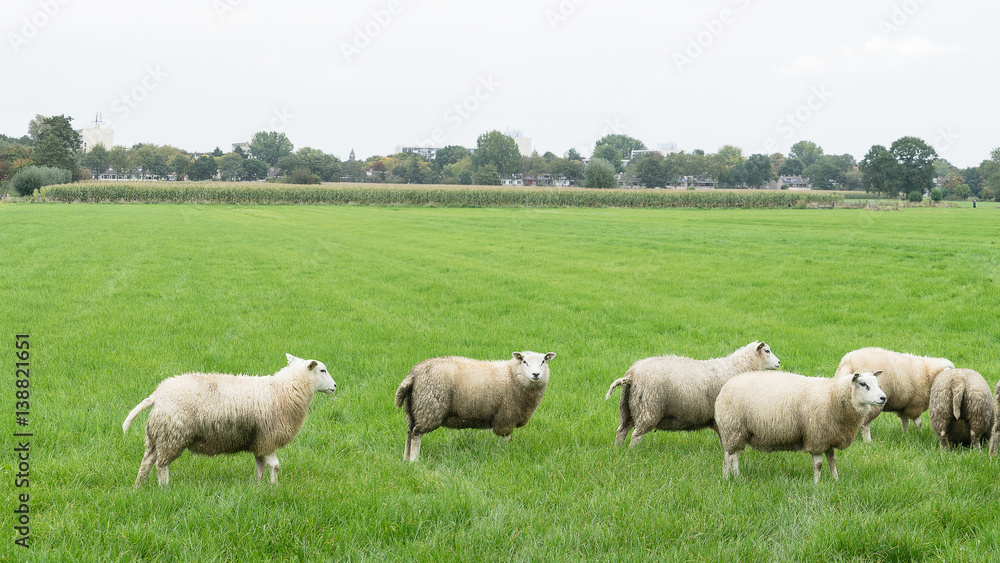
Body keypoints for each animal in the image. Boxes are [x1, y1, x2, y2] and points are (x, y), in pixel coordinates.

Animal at [122, 354, 336, 486]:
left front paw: (258, 485)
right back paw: (164, 487)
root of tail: (157, 395)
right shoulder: (268, 438)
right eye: (322, 370)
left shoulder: (259, 441)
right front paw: (274, 487)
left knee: (147, 461)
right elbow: (275, 466)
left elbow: (260, 466)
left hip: (156, 435)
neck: (284, 390)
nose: (335, 386)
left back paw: (139, 486)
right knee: (161, 465)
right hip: (172, 435)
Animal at [392, 352, 556, 462]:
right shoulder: (506, 418)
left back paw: (405, 459)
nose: (536, 374)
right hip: (429, 408)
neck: (512, 374)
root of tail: (413, 374)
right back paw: (414, 461)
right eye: (525, 362)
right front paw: (506, 454)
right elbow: (506, 439)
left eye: (543, 361)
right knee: (416, 434)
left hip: (413, 410)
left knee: (409, 432)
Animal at [600, 342, 780, 448]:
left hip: (627, 409)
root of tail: (631, 375)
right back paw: (633, 452)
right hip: (648, 408)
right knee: (636, 435)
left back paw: (618, 451)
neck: (740, 366)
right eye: (767, 350)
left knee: (621, 431)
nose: (779, 363)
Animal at [716, 370, 888, 484]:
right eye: (863, 384)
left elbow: (832, 461)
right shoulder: (816, 437)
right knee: (727, 457)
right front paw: (816, 484)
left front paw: (836, 480)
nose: (883, 398)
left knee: (734, 455)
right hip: (732, 428)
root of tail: (726, 386)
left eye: (876, 383)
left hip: (738, 432)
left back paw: (737, 476)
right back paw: (726, 477)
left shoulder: (828, 438)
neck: (833, 396)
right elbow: (818, 465)